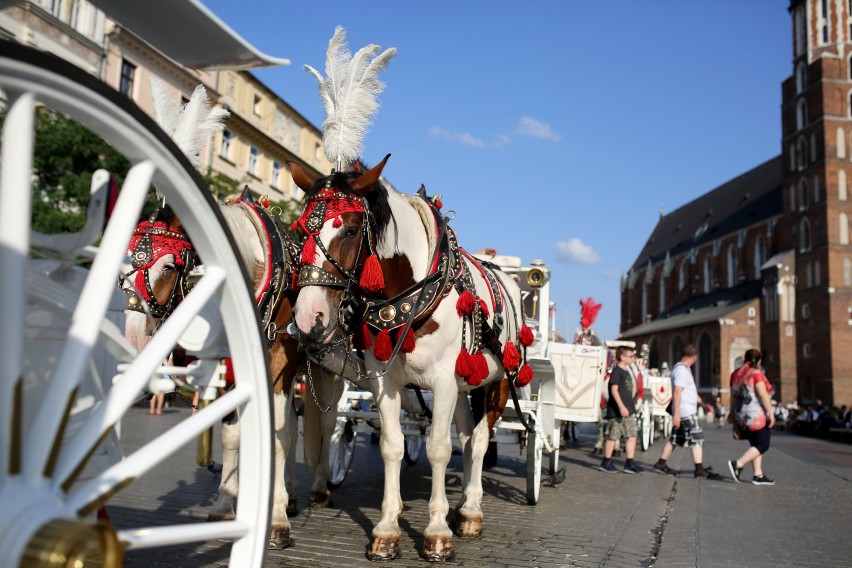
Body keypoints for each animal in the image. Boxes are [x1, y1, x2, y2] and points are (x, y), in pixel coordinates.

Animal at [120, 197, 340, 548]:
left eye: (168, 267)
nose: (132, 343)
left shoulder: (279, 366)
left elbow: (279, 438)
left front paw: (276, 520)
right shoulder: (229, 368)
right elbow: (233, 435)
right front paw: (225, 504)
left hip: (325, 370)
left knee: (326, 424)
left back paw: (318, 489)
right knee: (295, 425)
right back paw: (291, 493)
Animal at [290, 158, 536, 560]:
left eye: (352, 229)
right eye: (300, 231)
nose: (309, 318)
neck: (412, 295)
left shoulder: (444, 382)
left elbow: (438, 449)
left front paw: (436, 533)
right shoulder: (384, 382)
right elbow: (392, 446)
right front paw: (388, 529)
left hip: (498, 381)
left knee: (481, 440)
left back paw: (471, 510)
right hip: (463, 388)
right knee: (467, 437)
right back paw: (461, 505)